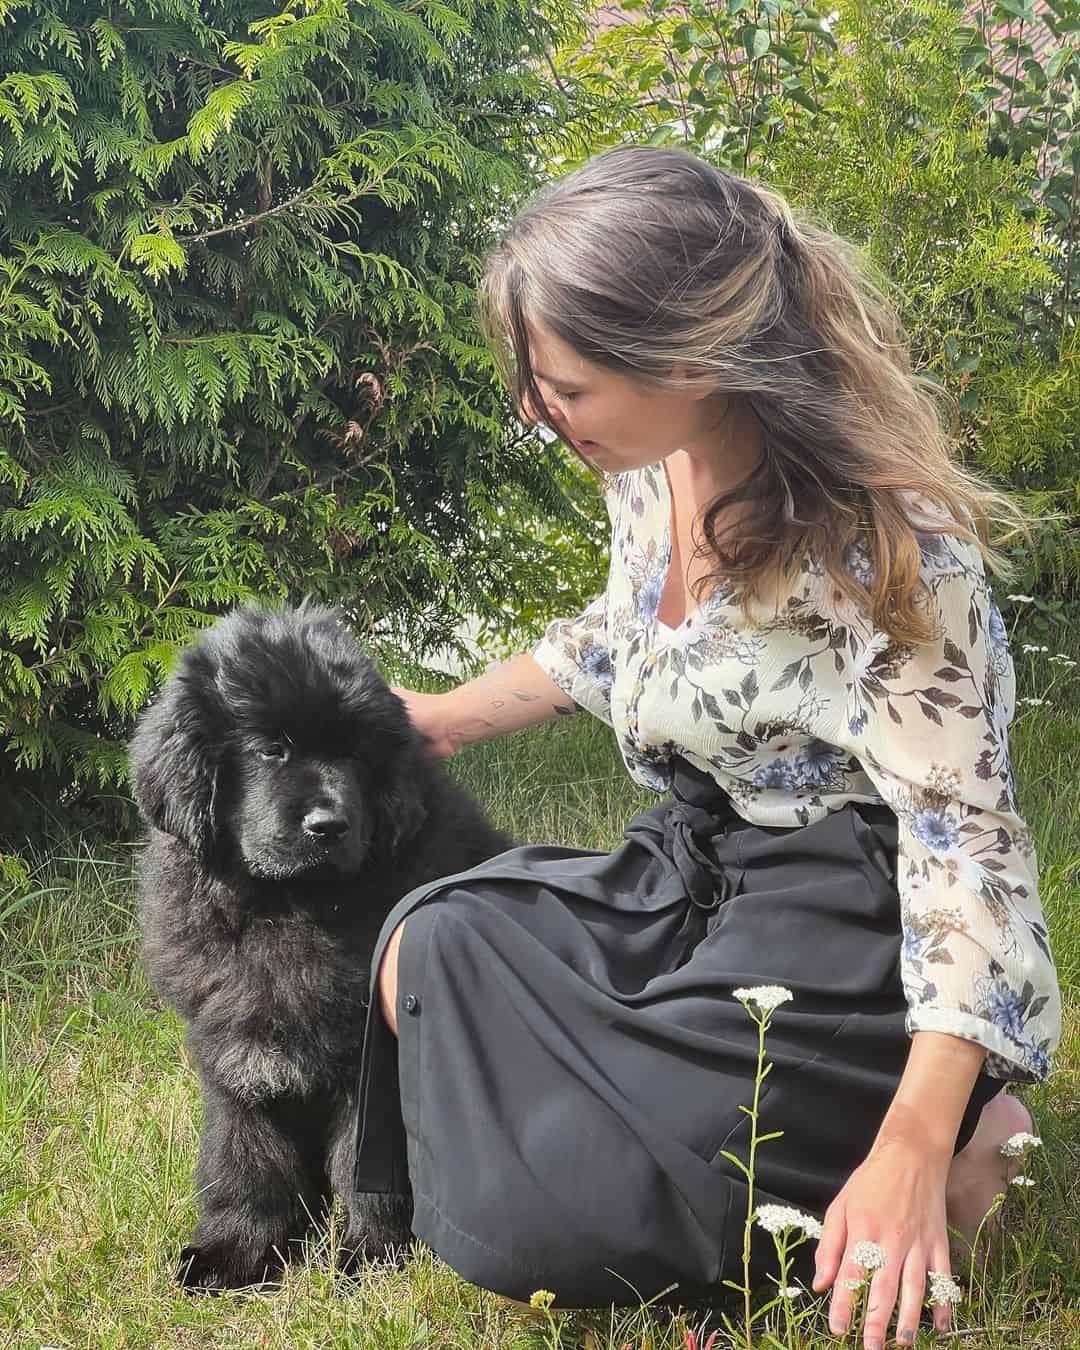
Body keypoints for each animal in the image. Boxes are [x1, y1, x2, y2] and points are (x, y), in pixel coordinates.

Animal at [129, 602, 510, 1285]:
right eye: (270, 750)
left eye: (357, 756)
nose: (328, 825)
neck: (288, 907)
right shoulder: (233, 1051)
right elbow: (243, 1158)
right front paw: (232, 1252)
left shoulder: (369, 1058)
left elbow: (364, 1168)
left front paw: (369, 1256)